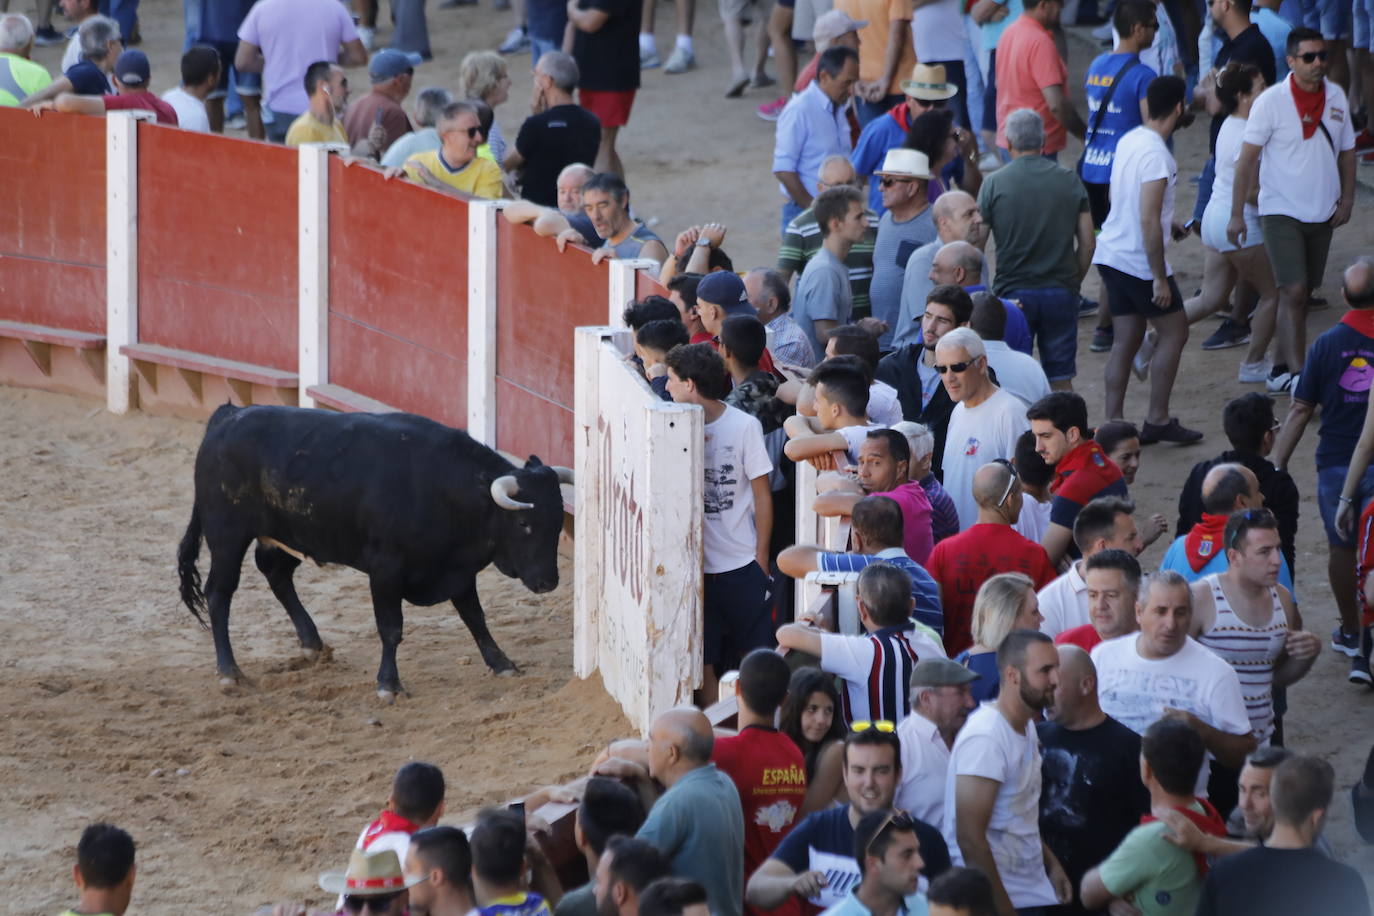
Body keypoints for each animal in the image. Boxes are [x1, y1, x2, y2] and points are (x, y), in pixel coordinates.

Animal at [178, 403, 574, 697]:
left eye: (558, 523)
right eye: (524, 524)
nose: (547, 583)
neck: (444, 489)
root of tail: (228, 417)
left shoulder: (458, 570)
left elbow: (475, 618)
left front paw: (502, 664)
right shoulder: (385, 569)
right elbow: (391, 627)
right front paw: (389, 684)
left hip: (282, 534)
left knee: (276, 573)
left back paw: (312, 644)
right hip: (227, 535)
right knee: (219, 592)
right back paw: (230, 672)